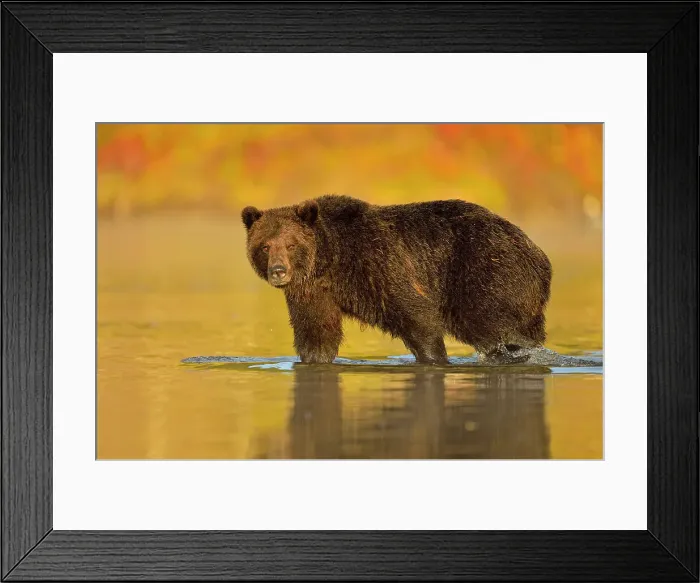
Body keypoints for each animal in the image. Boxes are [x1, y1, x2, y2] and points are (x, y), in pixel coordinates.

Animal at [241, 194, 552, 365]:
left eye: (291, 244)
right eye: (265, 246)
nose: (278, 271)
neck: (331, 261)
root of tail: (538, 253)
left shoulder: (379, 263)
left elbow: (416, 315)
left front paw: (434, 358)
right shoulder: (314, 292)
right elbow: (316, 334)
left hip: (486, 270)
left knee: (496, 326)